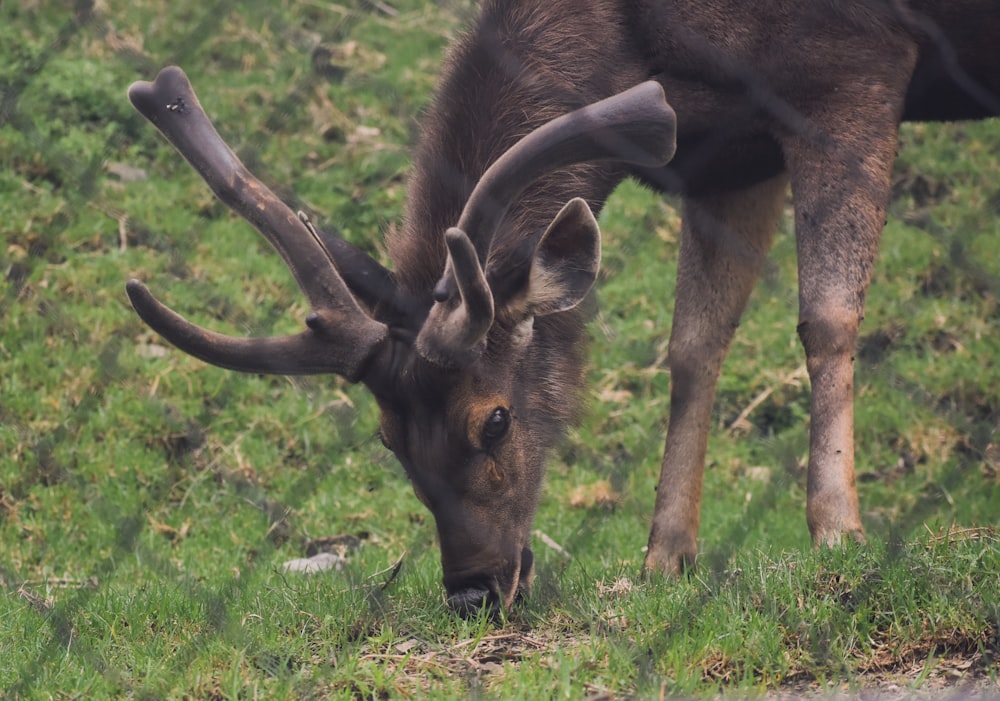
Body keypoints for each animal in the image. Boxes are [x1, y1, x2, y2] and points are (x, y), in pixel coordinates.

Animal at [127, 0, 1000, 616]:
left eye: (496, 418)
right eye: (387, 437)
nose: (472, 592)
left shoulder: (853, 65)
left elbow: (826, 318)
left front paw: (837, 533)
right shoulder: (727, 156)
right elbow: (693, 346)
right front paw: (665, 557)